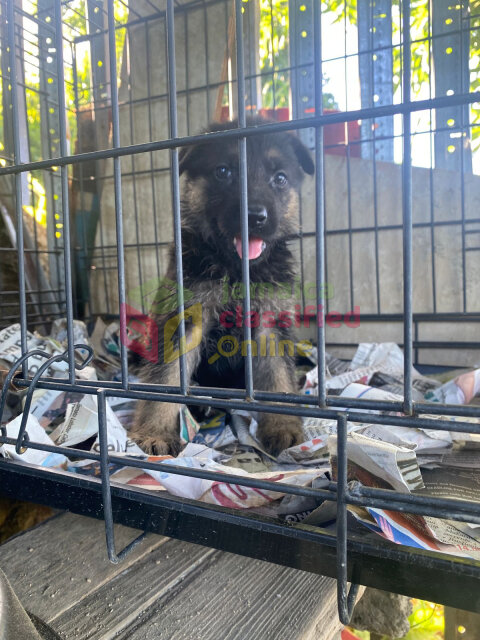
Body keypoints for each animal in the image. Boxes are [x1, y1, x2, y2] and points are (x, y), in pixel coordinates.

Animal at [129, 119, 316, 456]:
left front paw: (284, 426)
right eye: (223, 171)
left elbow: (279, 378)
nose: (254, 217)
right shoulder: (185, 317)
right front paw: (154, 432)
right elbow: (165, 376)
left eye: (280, 178)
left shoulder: (270, 323)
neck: (236, 270)